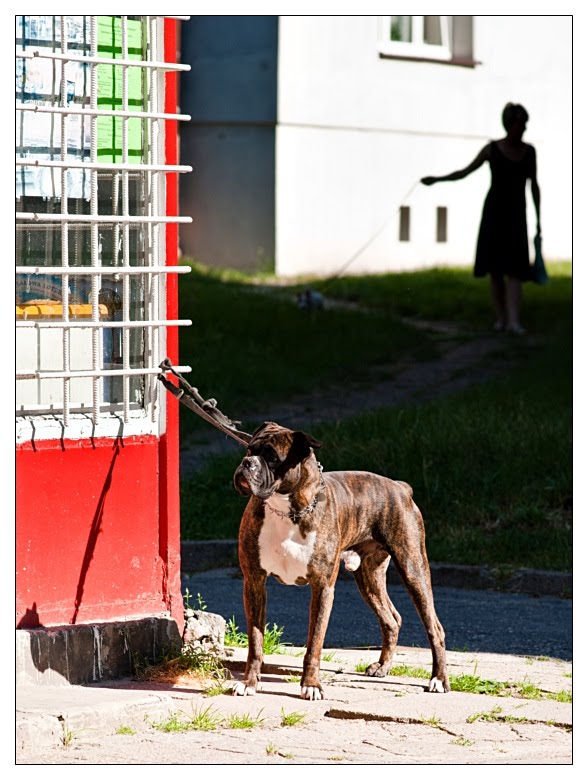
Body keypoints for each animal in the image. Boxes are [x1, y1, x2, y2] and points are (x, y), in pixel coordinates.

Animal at [232, 420, 448, 700]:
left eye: (271, 457)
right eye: (249, 450)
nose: (247, 463)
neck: (287, 509)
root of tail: (401, 487)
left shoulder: (322, 588)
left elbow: (314, 643)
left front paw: (311, 685)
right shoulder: (255, 583)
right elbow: (255, 642)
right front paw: (249, 683)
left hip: (413, 569)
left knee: (434, 627)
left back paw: (439, 679)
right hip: (369, 577)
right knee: (391, 619)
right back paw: (383, 667)